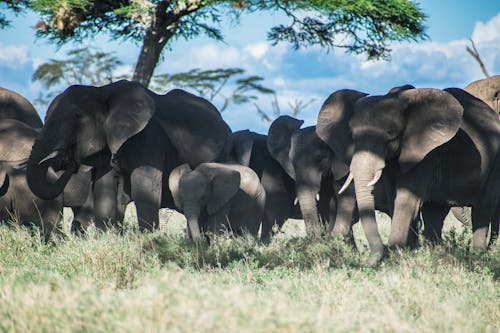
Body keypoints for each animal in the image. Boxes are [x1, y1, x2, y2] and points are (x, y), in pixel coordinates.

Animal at [26, 80, 231, 231]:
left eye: (77, 116)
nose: (70, 161)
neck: (102, 91)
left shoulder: (149, 136)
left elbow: (144, 183)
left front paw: (150, 240)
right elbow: (104, 185)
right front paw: (106, 237)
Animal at [318, 87, 498, 266]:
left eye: (390, 133)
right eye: (352, 135)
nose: (369, 262)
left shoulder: (425, 153)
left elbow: (406, 198)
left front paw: (395, 256)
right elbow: (394, 198)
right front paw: (405, 254)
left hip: (494, 164)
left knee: (482, 210)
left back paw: (477, 256)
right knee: (434, 212)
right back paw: (436, 253)